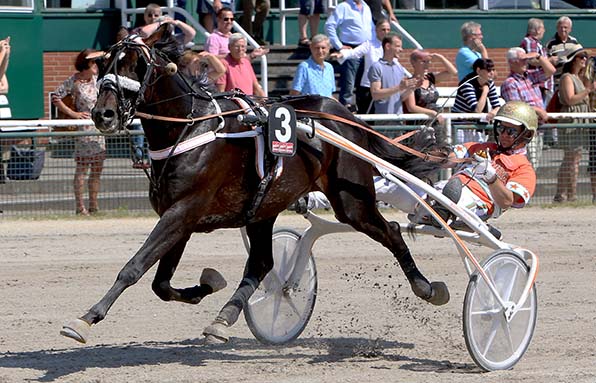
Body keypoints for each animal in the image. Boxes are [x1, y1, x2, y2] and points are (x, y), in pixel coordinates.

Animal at [61, 27, 452, 344]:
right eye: (104, 64)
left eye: (137, 65)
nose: (103, 114)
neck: (190, 128)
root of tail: (343, 113)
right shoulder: (180, 218)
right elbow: (160, 284)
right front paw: (206, 285)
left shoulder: (183, 211)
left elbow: (135, 266)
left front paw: (85, 319)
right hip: (264, 208)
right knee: (262, 263)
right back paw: (224, 318)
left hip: (351, 200)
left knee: (391, 231)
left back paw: (426, 287)